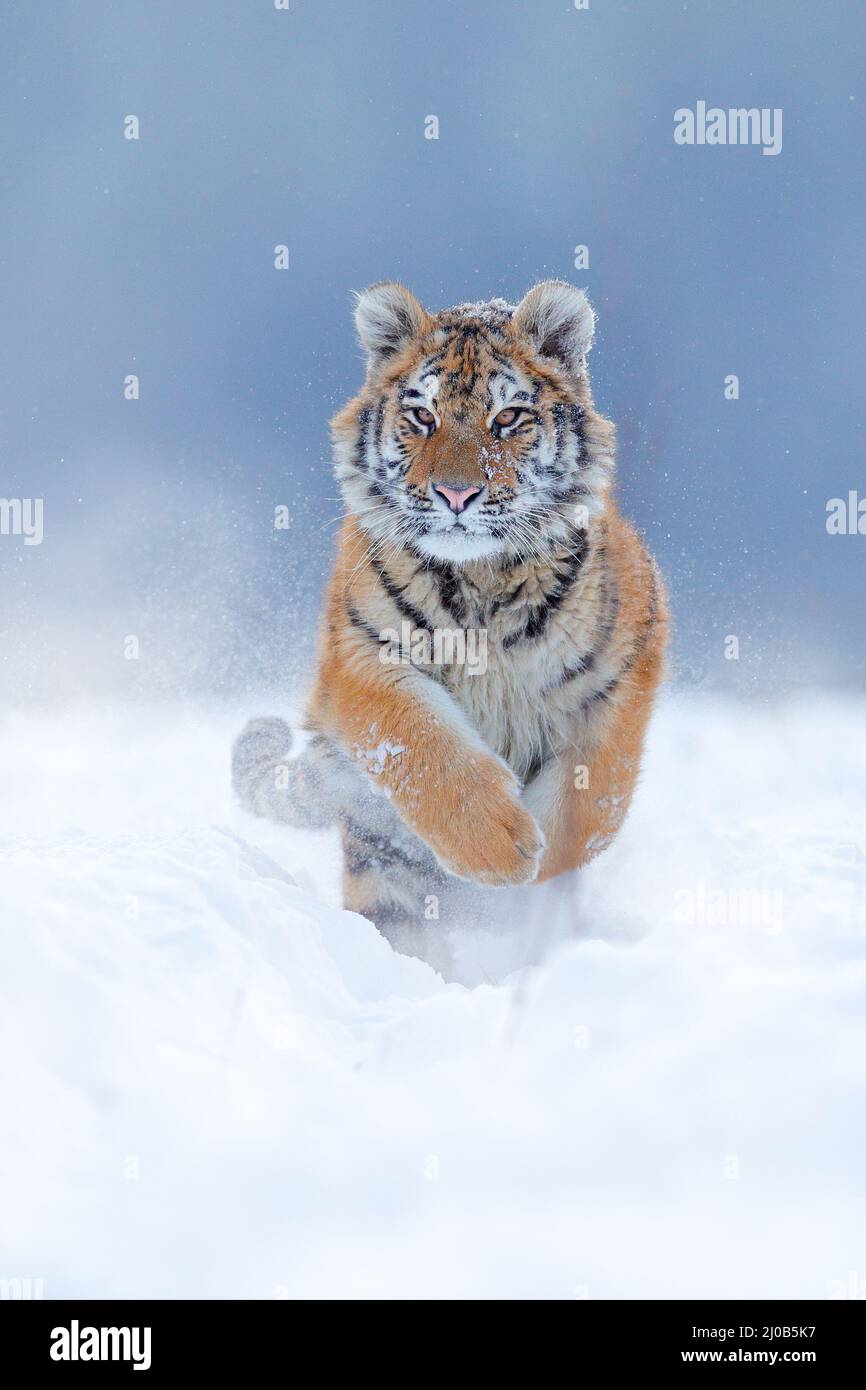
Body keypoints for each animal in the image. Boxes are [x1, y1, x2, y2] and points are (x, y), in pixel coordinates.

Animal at [233, 279, 668, 949]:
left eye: (508, 418)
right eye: (422, 416)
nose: (456, 494)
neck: (482, 580)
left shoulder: (625, 667)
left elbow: (594, 793)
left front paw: (540, 859)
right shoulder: (361, 656)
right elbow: (421, 744)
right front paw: (501, 847)